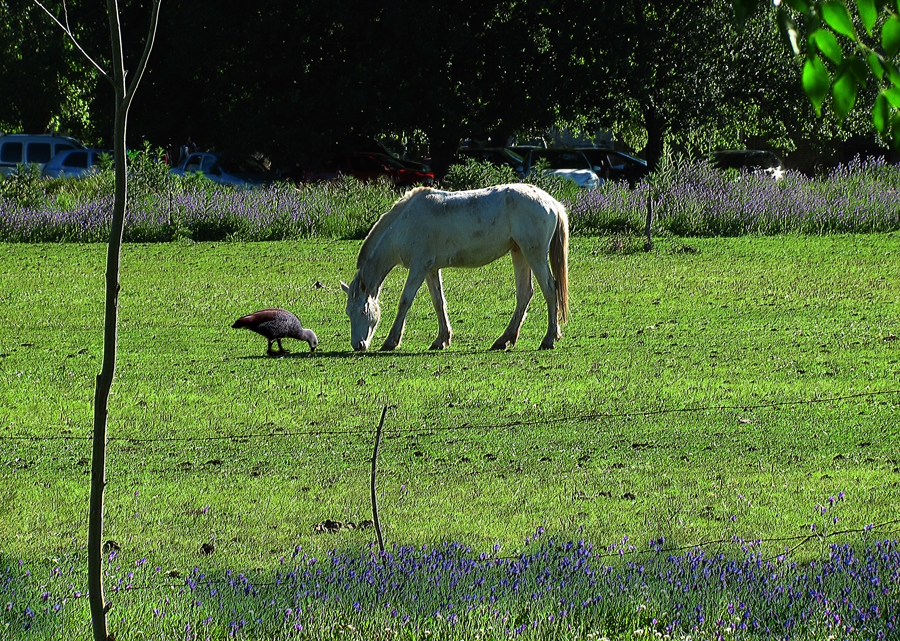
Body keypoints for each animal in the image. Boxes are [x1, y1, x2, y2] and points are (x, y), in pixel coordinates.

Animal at [342, 182, 568, 352]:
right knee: (524, 294)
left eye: (363, 311)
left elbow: (405, 301)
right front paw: (441, 339)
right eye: (348, 312)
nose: (358, 345)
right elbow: (438, 302)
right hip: (520, 253)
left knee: (550, 289)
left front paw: (391, 341)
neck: (405, 224)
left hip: (534, 255)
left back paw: (548, 339)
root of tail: (551, 202)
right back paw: (503, 340)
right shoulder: (431, 270)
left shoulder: (418, 268)